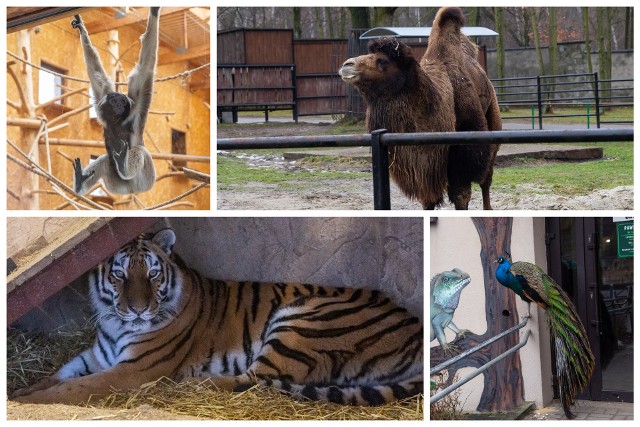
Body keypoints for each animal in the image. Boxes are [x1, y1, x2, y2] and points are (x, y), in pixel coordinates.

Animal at [12, 229, 422, 406]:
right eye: (119, 275)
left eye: (153, 274)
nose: (139, 309)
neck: (116, 323)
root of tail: (415, 326)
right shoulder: (97, 356)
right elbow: (56, 375)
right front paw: (22, 391)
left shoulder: (134, 369)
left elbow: (75, 387)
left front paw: (32, 401)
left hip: (303, 320)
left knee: (255, 380)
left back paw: (192, 384)